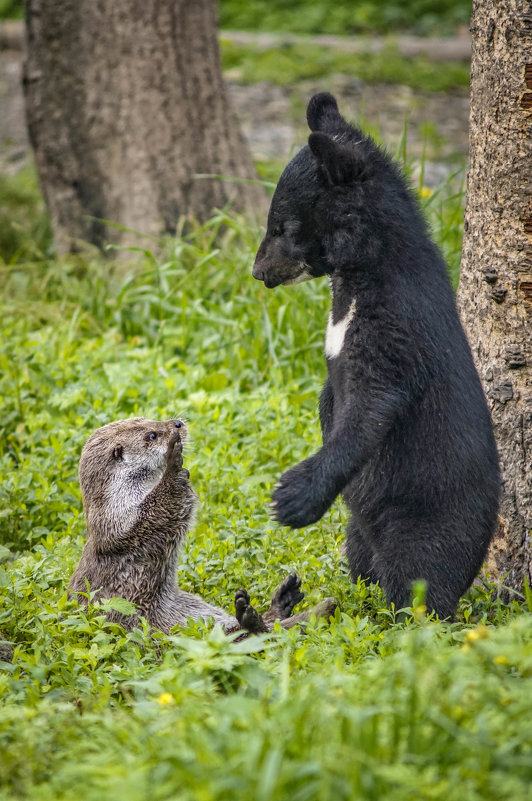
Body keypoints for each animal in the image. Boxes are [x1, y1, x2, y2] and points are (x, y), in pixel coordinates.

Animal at [68, 416, 334, 636]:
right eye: (152, 435)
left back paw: (281, 602)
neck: (118, 500)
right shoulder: (122, 526)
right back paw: (251, 619)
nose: (177, 423)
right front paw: (173, 464)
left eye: (151, 418)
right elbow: (159, 509)